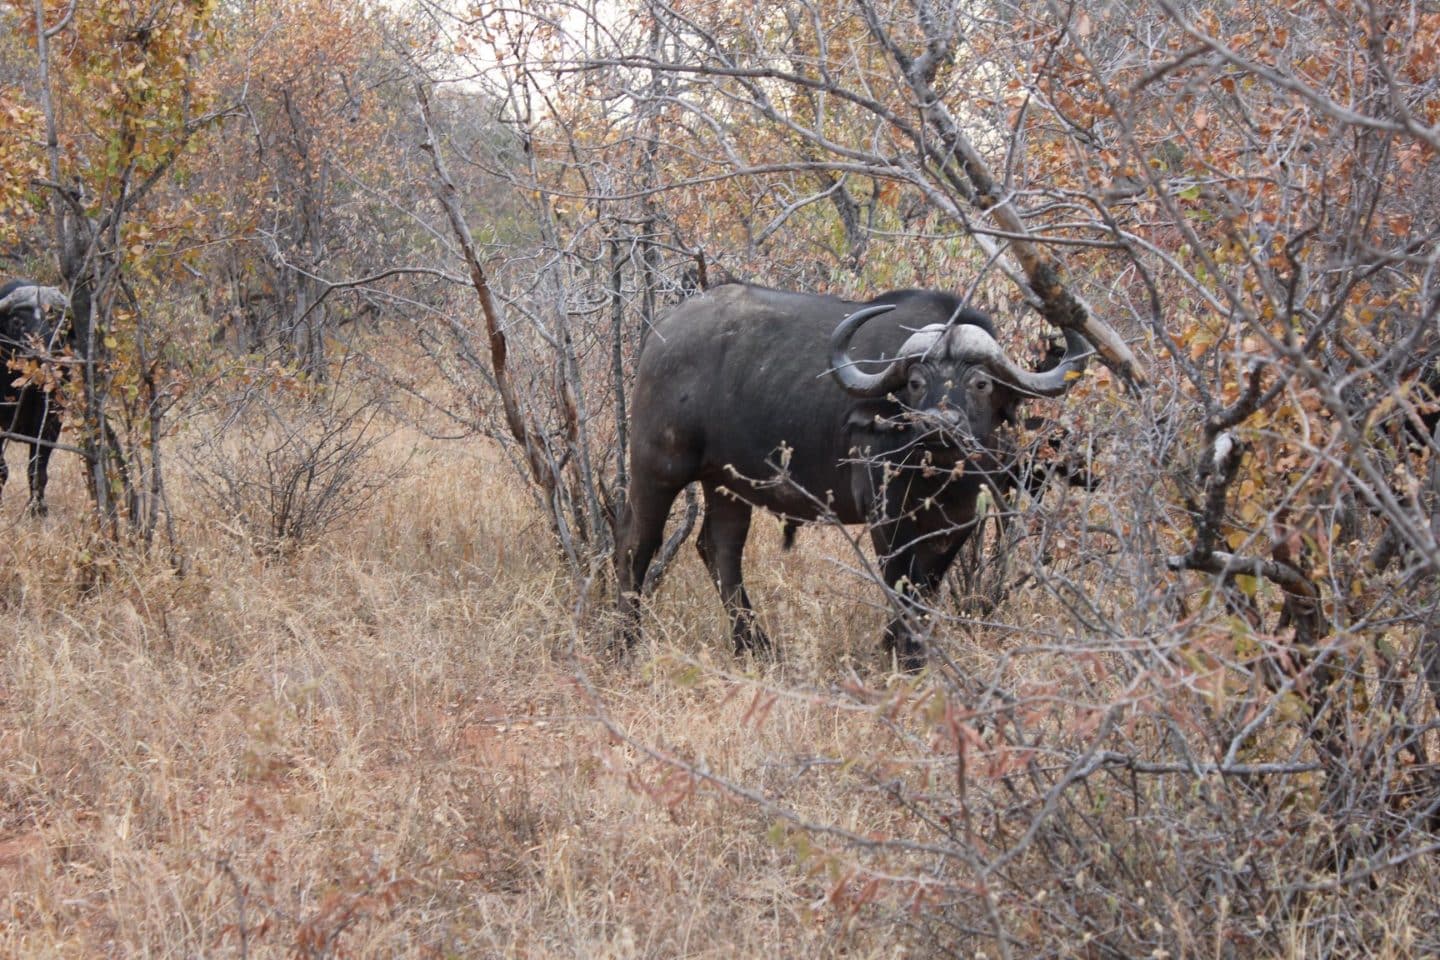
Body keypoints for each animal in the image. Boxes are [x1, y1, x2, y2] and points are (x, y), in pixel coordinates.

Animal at [0, 279, 71, 518]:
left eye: (57, 321)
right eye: (17, 320)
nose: (40, 354)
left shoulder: (51, 422)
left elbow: (37, 470)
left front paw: (38, 510)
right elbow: (2, 469)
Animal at [619, 282, 1088, 664]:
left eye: (981, 384)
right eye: (916, 382)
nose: (939, 425)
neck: (937, 476)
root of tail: (660, 332)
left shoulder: (958, 525)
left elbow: (925, 590)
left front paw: (907, 653)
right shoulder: (888, 518)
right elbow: (902, 586)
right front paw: (901, 657)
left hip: (727, 483)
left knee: (720, 550)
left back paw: (755, 647)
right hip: (656, 469)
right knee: (637, 547)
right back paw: (625, 642)